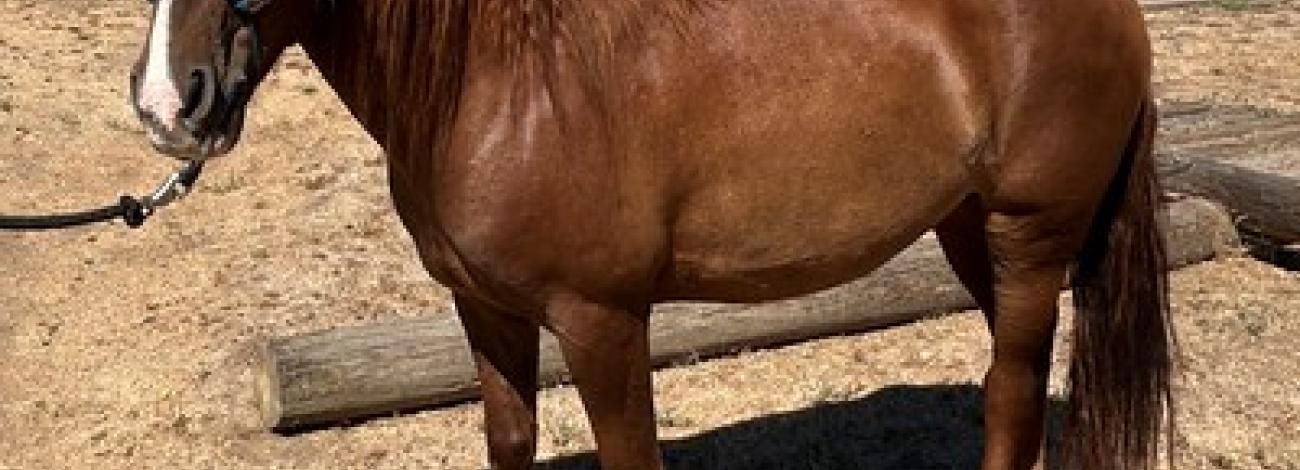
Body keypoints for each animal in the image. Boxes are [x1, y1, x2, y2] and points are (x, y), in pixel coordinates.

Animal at [128, 0, 1174, 468]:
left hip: (1030, 237)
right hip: (968, 233)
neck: (500, 87)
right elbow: (510, 439)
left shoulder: (601, 321)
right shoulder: (484, 310)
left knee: (1012, 395)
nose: (168, 105)